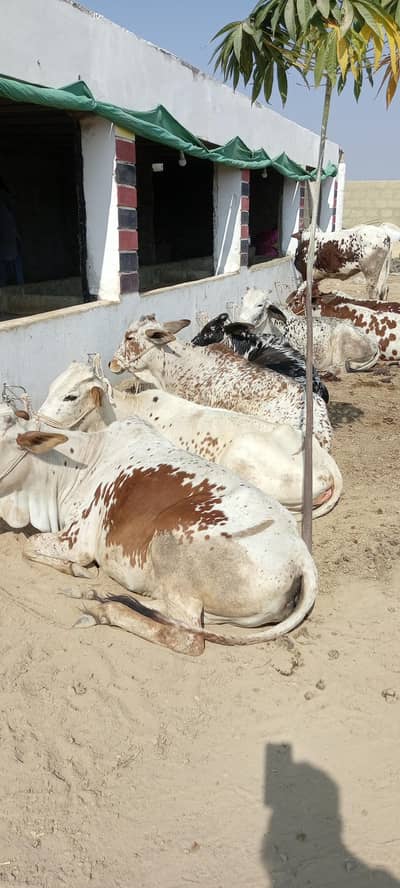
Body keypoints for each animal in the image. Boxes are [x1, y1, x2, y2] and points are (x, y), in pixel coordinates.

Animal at [0, 404, 318, 655]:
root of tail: (300, 554)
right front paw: (81, 577)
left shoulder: (76, 542)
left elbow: (28, 546)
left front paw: (78, 571)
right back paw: (90, 595)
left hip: (171, 539)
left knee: (186, 637)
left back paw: (103, 609)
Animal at [239, 288, 380, 375]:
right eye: (243, 301)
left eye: (260, 305)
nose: (242, 321)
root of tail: (374, 345)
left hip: (341, 336)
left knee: (339, 369)